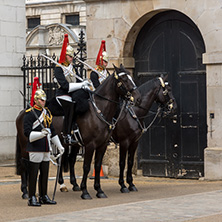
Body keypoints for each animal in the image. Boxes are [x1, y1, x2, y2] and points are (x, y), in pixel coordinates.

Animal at [16, 64, 140, 199]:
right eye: (124, 80)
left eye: (132, 77)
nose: (137, 97)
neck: (98, 111)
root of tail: (23, 111)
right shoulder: (90, 145)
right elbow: (86, 167)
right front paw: (85, 191)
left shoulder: (102, 145)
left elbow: (97, 166)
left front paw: (99, 190)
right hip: (26, 144)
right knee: (24, 163)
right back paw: (26, 192)